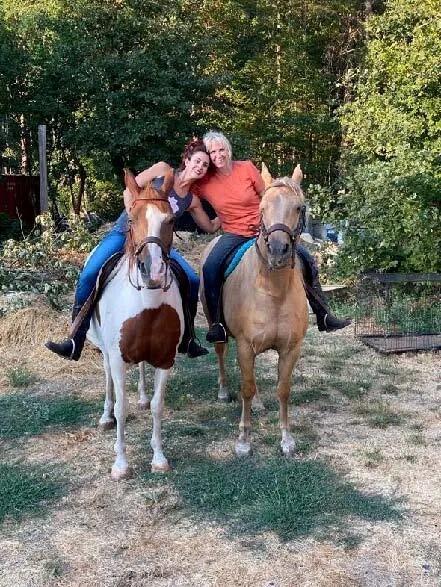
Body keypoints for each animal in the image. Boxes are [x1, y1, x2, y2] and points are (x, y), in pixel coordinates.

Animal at [87, 171, 184, 482]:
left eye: (171, 220)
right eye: (131, 219)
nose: (152, 272)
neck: (148, 304)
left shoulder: (165, 360)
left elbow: (157, 405)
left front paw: (159, 457)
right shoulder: (118, 360)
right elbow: (122, 407)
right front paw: (121, 464)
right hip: (106, 351)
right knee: (107, 378)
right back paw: (105, 416)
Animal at [200, 163, 308, 458]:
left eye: (299, 207)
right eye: (262, 207)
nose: (278, 250)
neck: (273, 290)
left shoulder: (290, 349)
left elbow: (283, 389)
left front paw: (287, 439)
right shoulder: (245, 345)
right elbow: (246, 388)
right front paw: (244, 441)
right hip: (221, 332)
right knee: (222, 355)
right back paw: (224, 391)